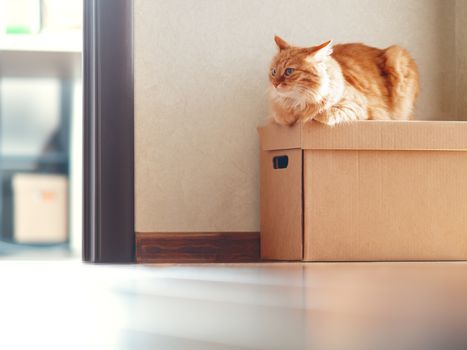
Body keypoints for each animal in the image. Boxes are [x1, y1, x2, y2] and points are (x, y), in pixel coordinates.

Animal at [270, 35, 420, 126]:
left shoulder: (359, 107)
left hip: (397, 56)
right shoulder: (279, 118)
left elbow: (323, 114)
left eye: (289, 71)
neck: (296, 106)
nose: (275, 84)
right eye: (273, 72)